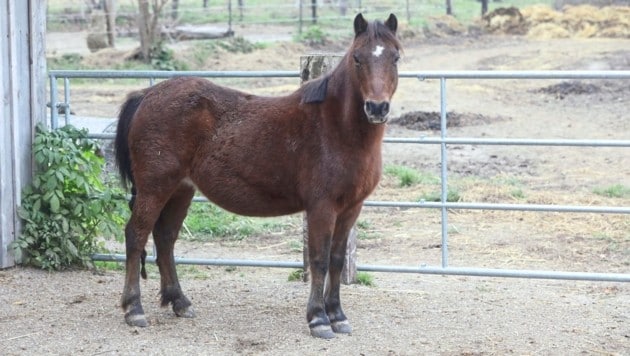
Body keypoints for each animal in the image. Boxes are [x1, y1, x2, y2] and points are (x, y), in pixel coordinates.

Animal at [116, 11, 402, 340]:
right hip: (154, 188)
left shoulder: (350, 209)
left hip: (181, 190)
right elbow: (319, 260)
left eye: (395, 57)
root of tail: (147, 94)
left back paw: (180, 302)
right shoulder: (322, 208)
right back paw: (134, 309)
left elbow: (337, 260)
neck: (336, 128)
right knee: (136, 235)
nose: (377, 107)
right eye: (357, 58)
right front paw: (318, 319)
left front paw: (337, 316)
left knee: (165, 238)